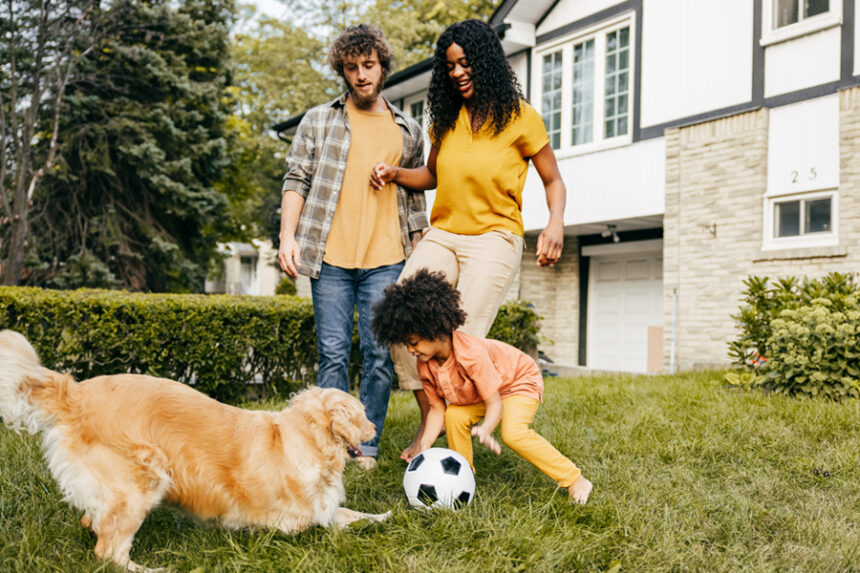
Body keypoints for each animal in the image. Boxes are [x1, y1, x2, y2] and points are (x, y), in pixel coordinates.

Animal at [0, 328, 390, 568]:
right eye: (362, 414)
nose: (373, 429)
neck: (307, 438)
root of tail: (77, 392)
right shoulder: (289, 527)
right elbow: (326, 524)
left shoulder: (323, 510)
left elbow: (353, 514)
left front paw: (387, 516)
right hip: (143, 479)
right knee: (109, 552)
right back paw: (153, 569)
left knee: (93, 523)